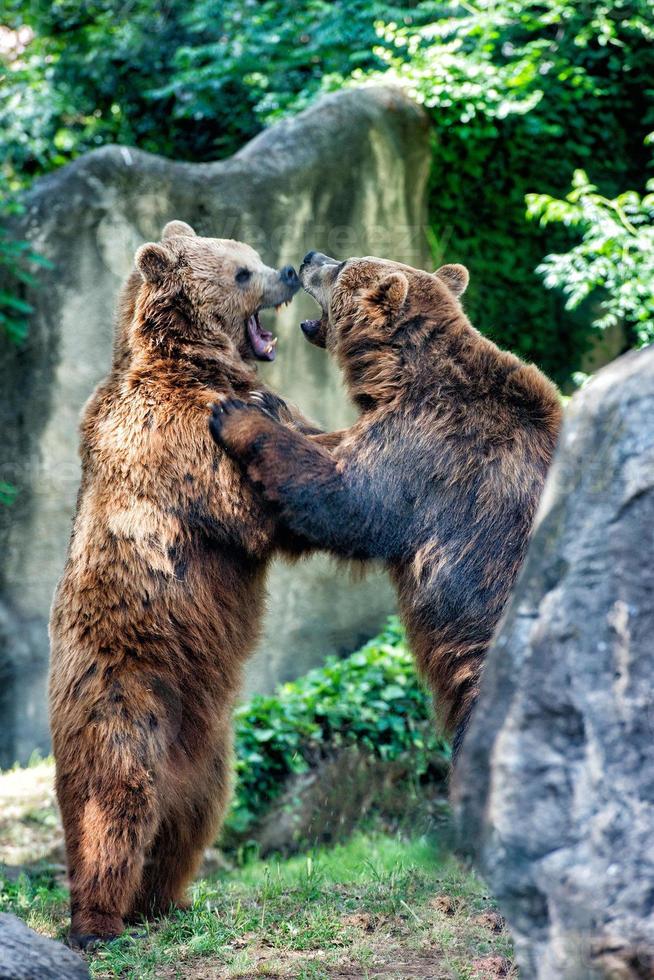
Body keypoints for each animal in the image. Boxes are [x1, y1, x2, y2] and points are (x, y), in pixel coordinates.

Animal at [210, 249, 564, 756]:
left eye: (342, 267)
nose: (311, 256)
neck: (394, 375)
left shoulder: (429, 447)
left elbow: (348, 501)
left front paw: (238, 413)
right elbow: (334, 445)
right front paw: (269, 403)